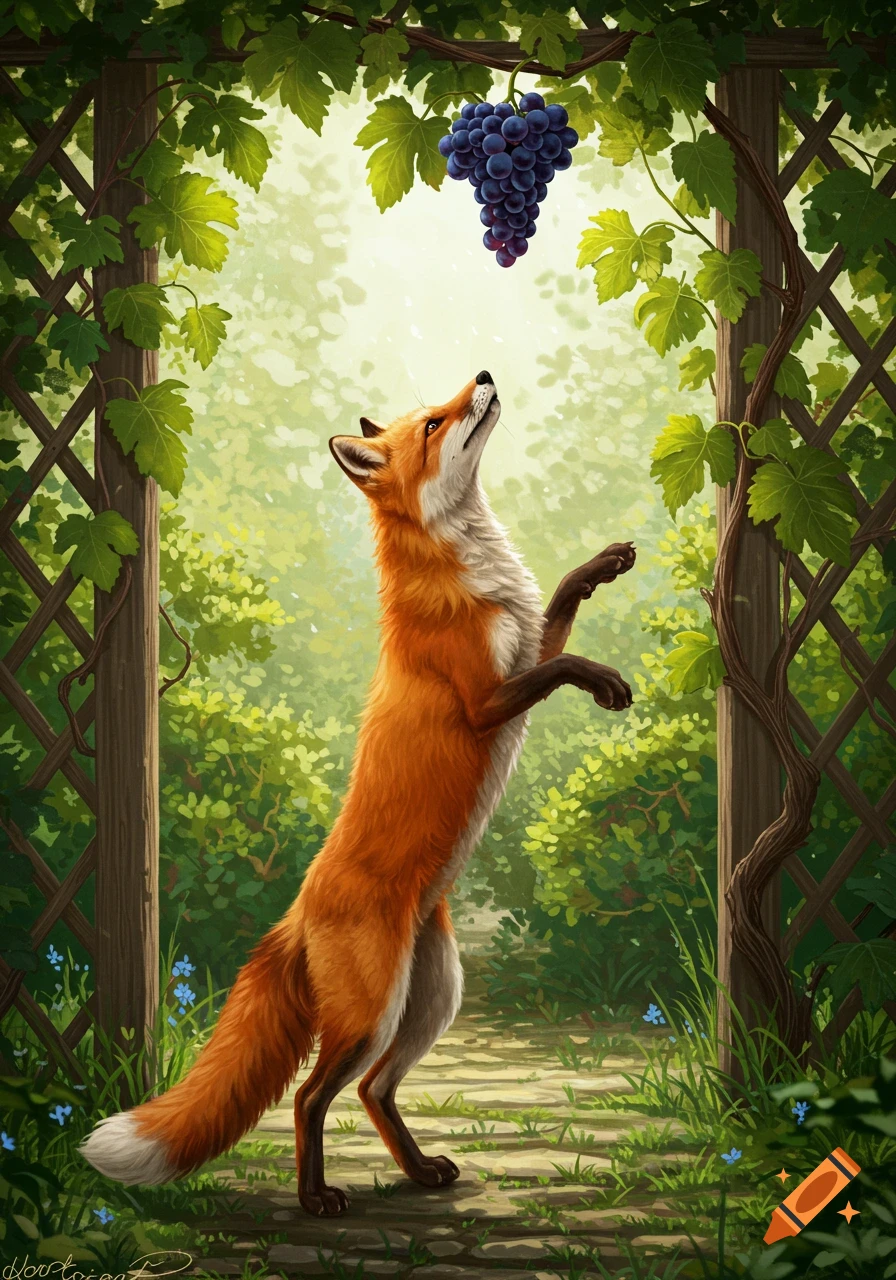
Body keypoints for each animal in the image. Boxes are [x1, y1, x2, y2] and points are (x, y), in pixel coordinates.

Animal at [79, 371, 636, 1217]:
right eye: (435, 422)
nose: (484, 376)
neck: (461, 569)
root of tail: (301, 909)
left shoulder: (523, 645)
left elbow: (560, 613)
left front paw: (603, 563)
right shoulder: (486, 700)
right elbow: (562, 667)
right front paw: (604, 679)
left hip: (430, 1001)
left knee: (374, 1090)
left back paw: (418, 1171)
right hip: (373, 1013)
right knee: (311, 1097)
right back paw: (315, 1197)